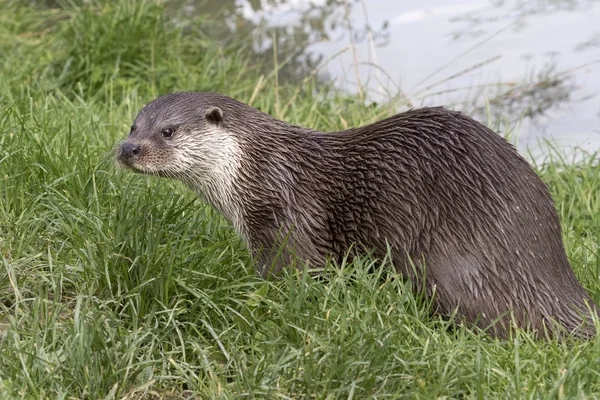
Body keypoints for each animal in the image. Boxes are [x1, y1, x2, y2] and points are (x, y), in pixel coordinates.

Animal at [116, 90, 596, 338]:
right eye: (133, 125)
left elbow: (295, 278)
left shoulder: (287, 219)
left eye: (168, 131)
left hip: (449, 263)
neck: (260, 169)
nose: (128, 149)